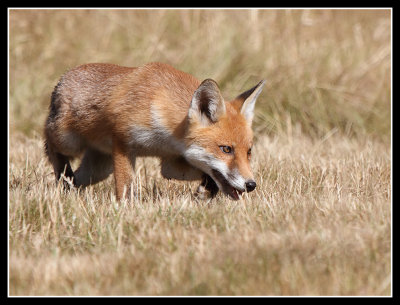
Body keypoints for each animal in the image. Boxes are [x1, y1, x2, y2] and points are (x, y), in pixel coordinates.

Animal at [43, 61, 264, 200]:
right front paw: (124, 210)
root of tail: (65, 76)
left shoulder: (171, 161)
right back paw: (62, 174)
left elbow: (202, 172)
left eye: (249, 152)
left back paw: (67, 191)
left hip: (99, 169)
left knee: (78, 180)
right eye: (226, 149)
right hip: (68, 141)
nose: (251, 185)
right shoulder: (122, 142)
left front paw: (207, 190)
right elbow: (125, 186)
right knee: (50, 144)